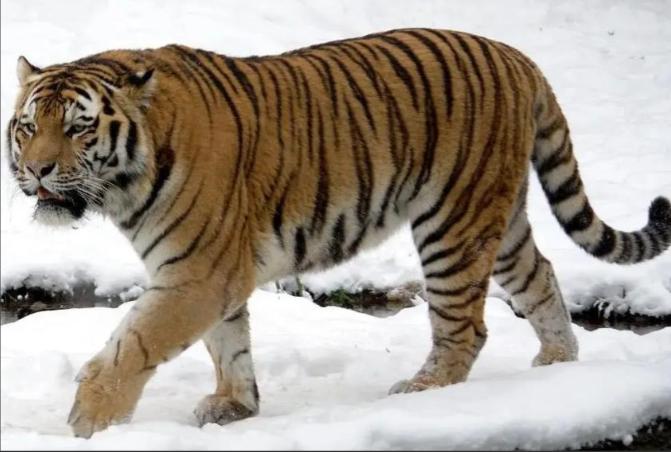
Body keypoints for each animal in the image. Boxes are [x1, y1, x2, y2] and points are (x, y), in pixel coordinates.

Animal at [6, 28, 671, 438]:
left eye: (78, 128)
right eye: (27, 127)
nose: (36, 170)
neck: (125, 182)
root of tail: (517, 56)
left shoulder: (196, 274)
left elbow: (132, 345)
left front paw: (88, 422)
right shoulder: (212, 273)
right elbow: (229, 343)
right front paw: (235, 406)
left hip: (452, 223)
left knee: (466, 326)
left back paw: (424, 392)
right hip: (498, 221)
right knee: (541, 278)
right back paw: (556, 368)